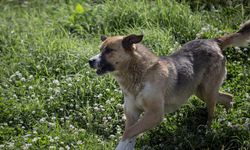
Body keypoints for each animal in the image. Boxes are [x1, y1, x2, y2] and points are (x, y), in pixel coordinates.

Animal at [89, 20, 249, 150]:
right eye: (100, 49)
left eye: (109, 50)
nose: (89, 61)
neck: (138, 75)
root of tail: (214, 41)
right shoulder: (132, 114)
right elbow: (130, 135)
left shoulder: (155, 114)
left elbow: (128, 133)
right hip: (201, 92)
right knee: (228, 97)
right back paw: (227, 118)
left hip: (207, 92)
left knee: (212, 113)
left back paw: (208, 131)